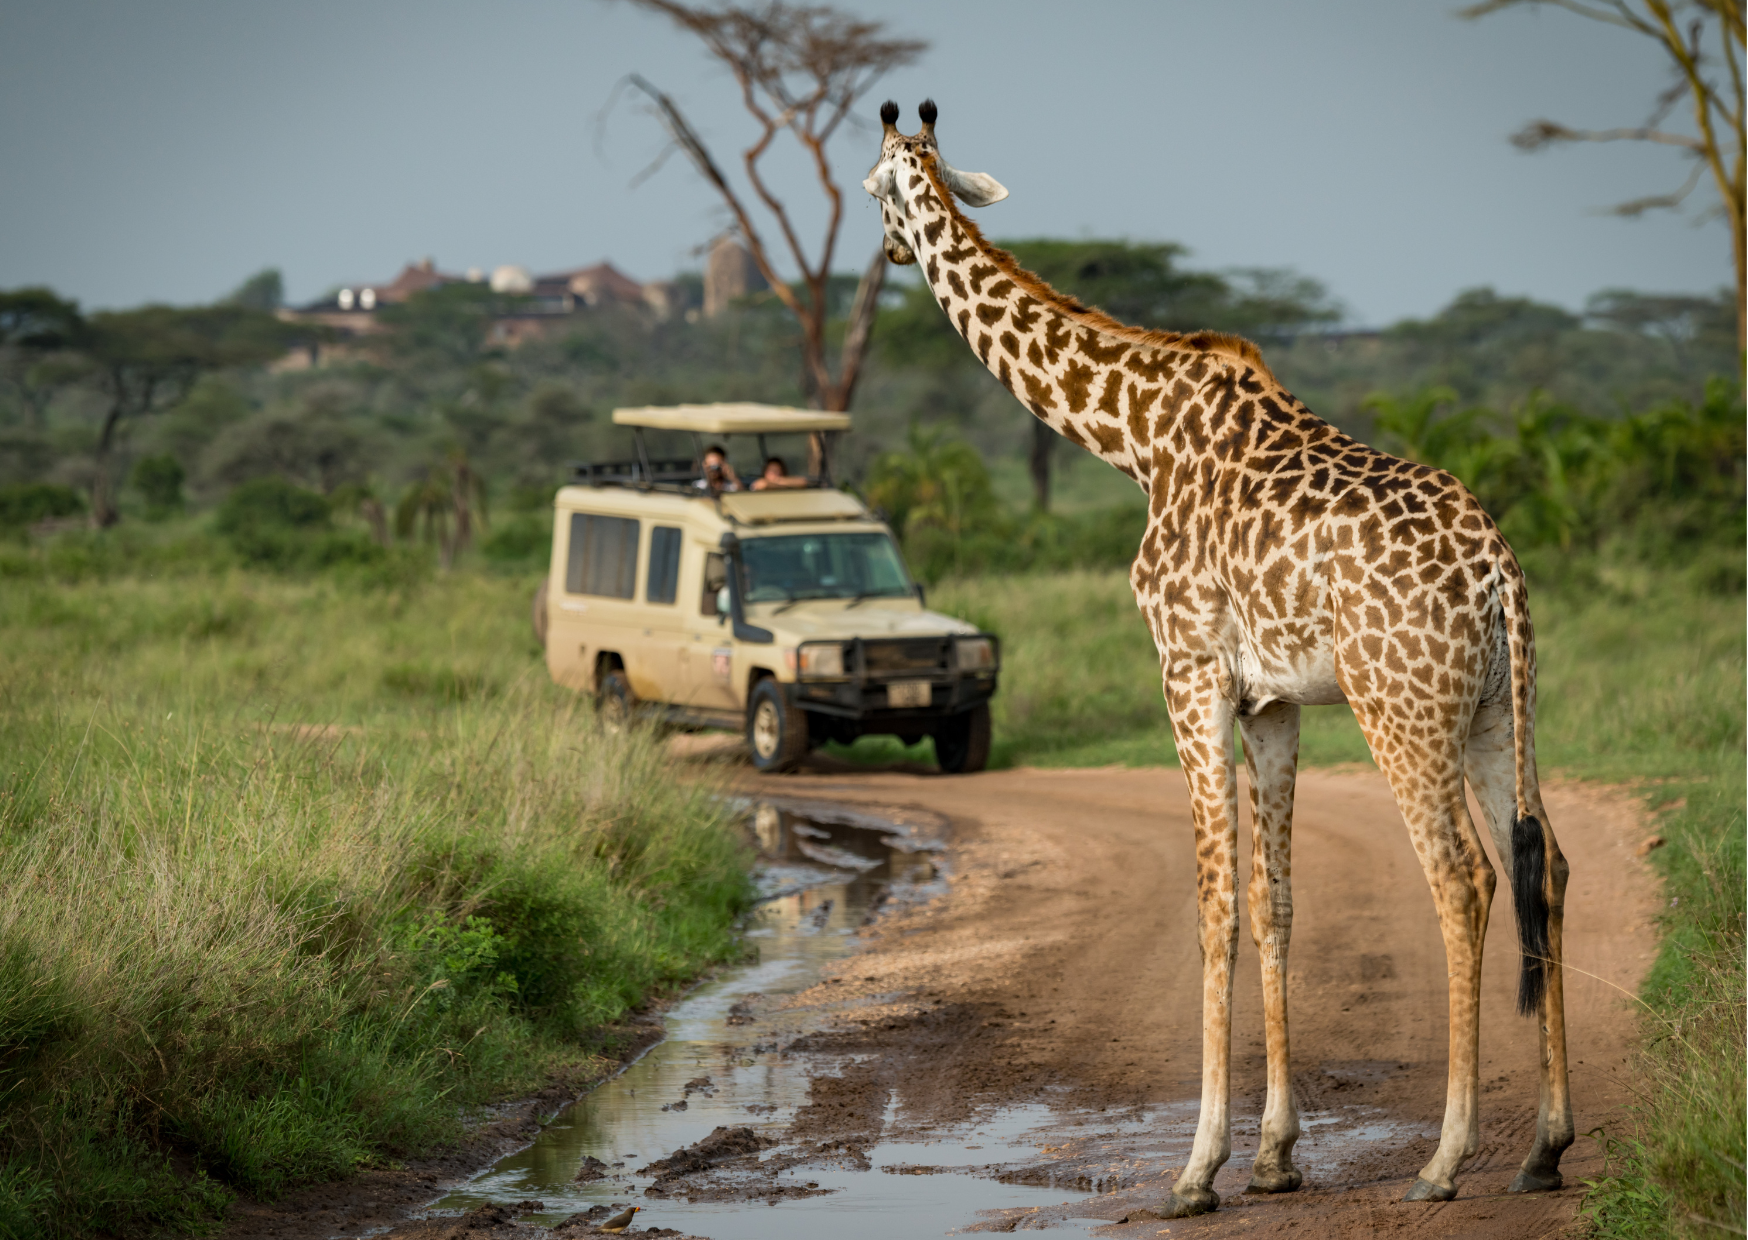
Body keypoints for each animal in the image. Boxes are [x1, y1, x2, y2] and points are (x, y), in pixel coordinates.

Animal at [864, 99, 1573, 1217]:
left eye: (867, 188)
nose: (888, 248)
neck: (1134, 436)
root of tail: (1496, 568)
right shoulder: (1271, 701)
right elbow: (1275, 904)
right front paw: (1277, 1157)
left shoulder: (1187, 670)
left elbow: (1212, 905)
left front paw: (1197, 1169)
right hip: (1501, 707)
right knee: (1542, 864)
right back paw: (1543, 1147)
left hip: (1401, 706)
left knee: (1462, 880)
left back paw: (1444, 1160)